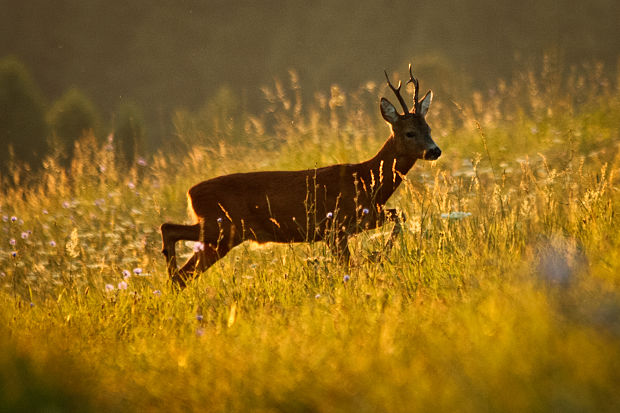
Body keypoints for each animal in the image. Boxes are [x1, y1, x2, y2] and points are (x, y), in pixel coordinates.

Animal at [161, 65, 440, 286]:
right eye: (409, 133)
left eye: (428, 128)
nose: (435, 150)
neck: (366, 180)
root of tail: (190, 193)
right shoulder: (334, 226)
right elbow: (348, 265)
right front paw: (374, 259)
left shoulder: (366, 217)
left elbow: (399, 215)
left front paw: (377, 256)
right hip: (222, 227)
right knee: (171, 237)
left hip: (221, 233)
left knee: (182, 267)